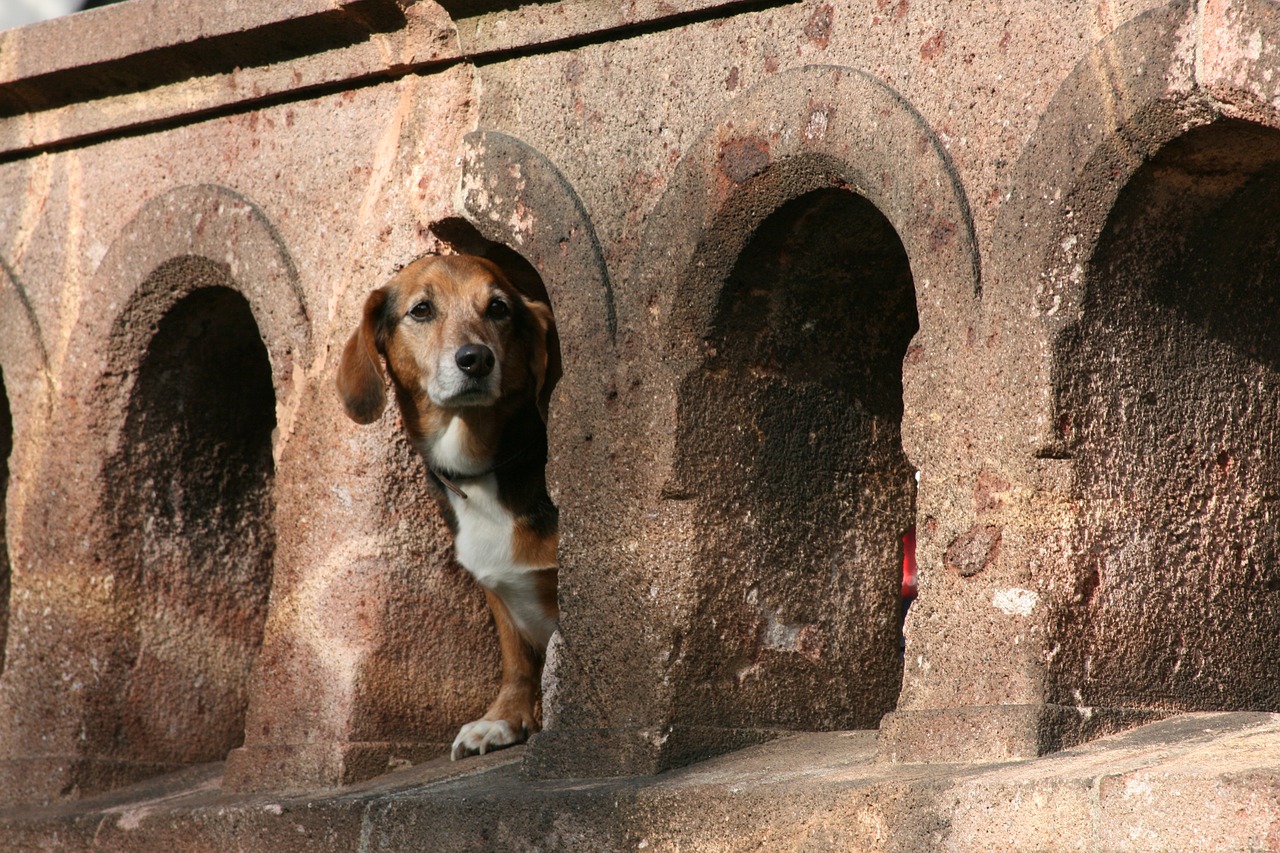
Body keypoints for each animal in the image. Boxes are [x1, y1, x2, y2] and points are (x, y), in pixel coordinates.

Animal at [335, 251, 560, 758]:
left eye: (498, 308)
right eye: (422, 310)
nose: (476, 359)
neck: (482, 470)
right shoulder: (499, 593)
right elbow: (517, 662)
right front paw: (502, 718)